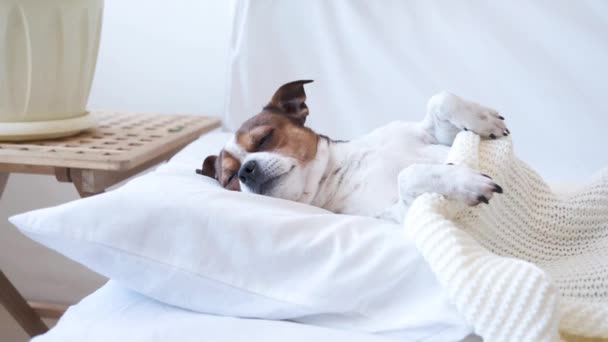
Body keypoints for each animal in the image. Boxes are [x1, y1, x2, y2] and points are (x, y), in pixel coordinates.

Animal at [200, 81, 508, 224]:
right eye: (230, 180)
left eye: (264, 138)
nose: (246, 171)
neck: (341, 170)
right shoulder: (395, 215)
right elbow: (407, 176)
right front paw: (466, 182)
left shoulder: (440, 138)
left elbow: (441, 99)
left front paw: (485, 120)